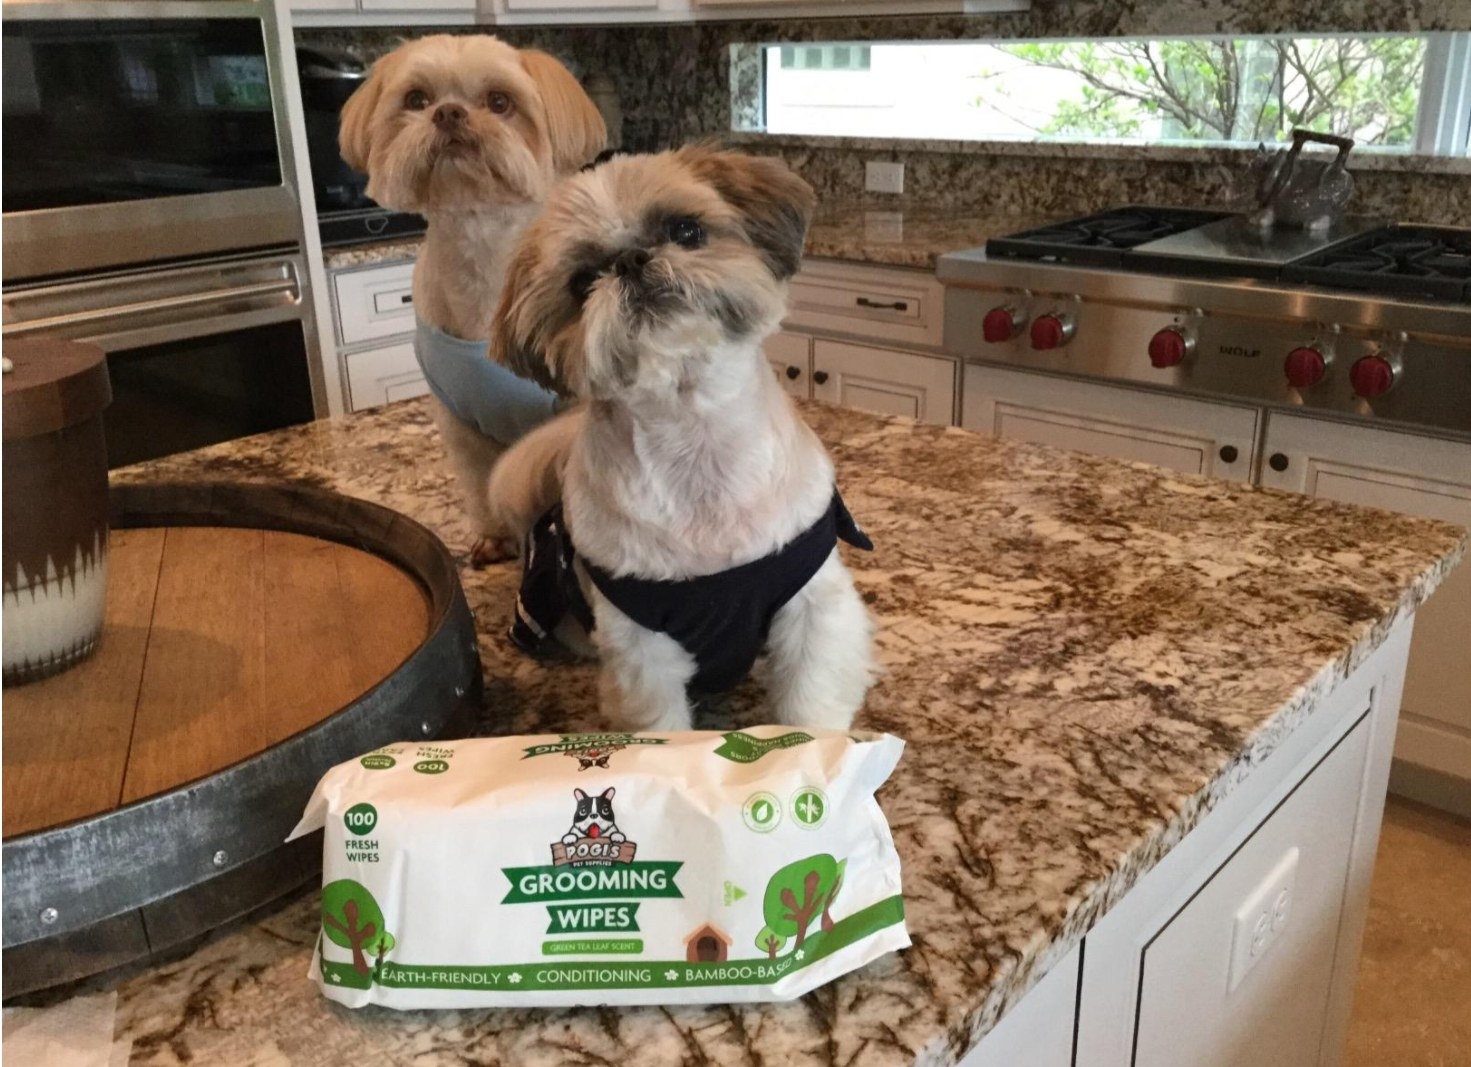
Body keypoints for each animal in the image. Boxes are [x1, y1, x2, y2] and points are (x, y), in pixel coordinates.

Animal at [338, 36, 603, 562]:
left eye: (499, 102)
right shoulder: (458, 420)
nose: (449, 113)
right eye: (416, 99)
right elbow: (480, 482)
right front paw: (493, 536)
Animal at [485, 145, 870, 732]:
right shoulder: (642, 642)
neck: (697, 439)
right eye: (582, 282)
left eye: (685, 230)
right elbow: (660, 721)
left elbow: (810, 699)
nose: (630, 260)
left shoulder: (810, 604)